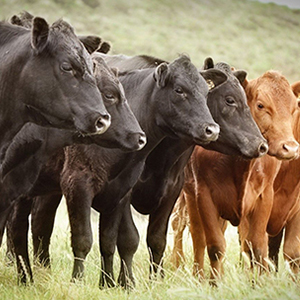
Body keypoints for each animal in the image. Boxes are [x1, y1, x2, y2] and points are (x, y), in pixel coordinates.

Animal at [170, 71, 298, 282]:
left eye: (294, 108)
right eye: (261, 105)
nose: (291, 148)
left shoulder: (265, 198)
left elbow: (259, 248)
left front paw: (259, 283)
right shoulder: (204, 196)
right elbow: (215, 246)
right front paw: (215, 284)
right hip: (189, 196)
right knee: (194, 235)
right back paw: (194, 274)